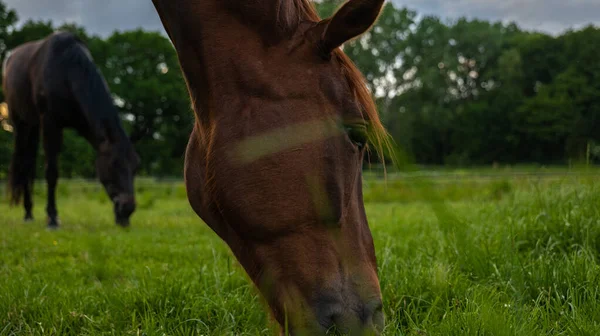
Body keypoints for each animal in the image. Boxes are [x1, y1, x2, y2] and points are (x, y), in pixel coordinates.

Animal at [2, 32, 140, 228]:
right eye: (114, 164)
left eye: (136, 166)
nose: (127, 209)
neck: (66, 71)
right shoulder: (51, 123)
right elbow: (52, 172)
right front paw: (52, 217)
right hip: (21, 123)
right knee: (25, 164)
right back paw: (28, 213)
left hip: (34, 125)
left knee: (30, 166)